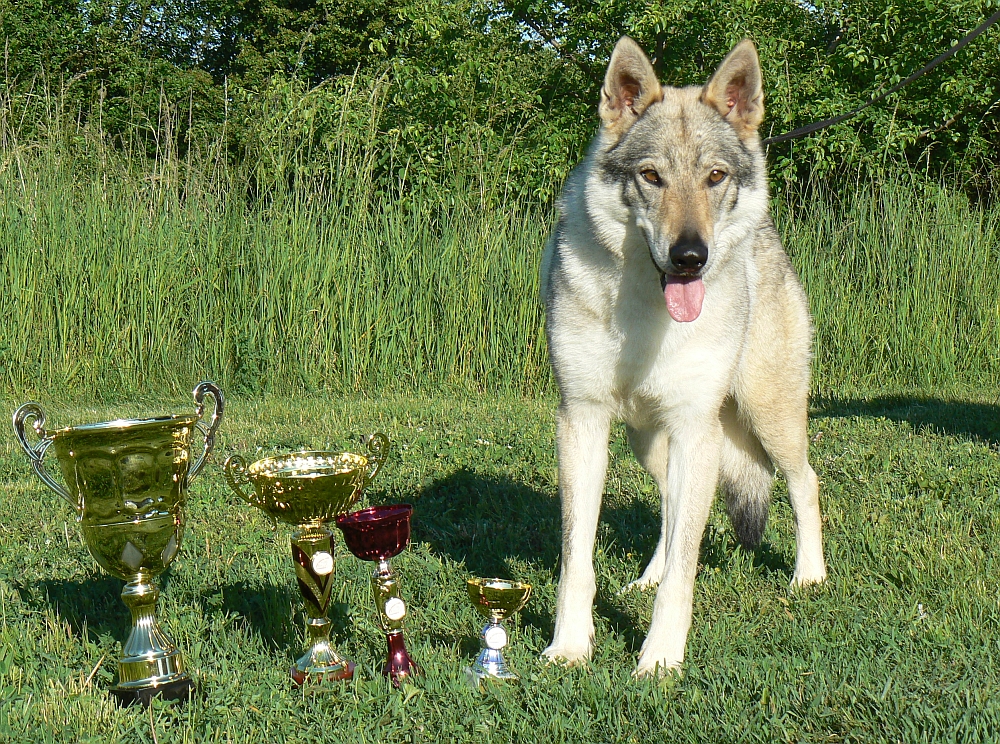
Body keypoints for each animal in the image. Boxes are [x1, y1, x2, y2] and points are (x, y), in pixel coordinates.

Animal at [540, 35, 828, 676]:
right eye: (652, 176)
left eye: (715, 176)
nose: (690, 257)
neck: (647, 313)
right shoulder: (582, 421)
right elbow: (577, 561)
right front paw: (570, 647)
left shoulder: (696, 427)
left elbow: (685, 570)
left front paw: (661, 659)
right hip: (652, 443)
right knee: (672, 520)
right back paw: (645, 577)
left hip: (764, 420)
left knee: (804, 483)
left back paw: (810, 576)